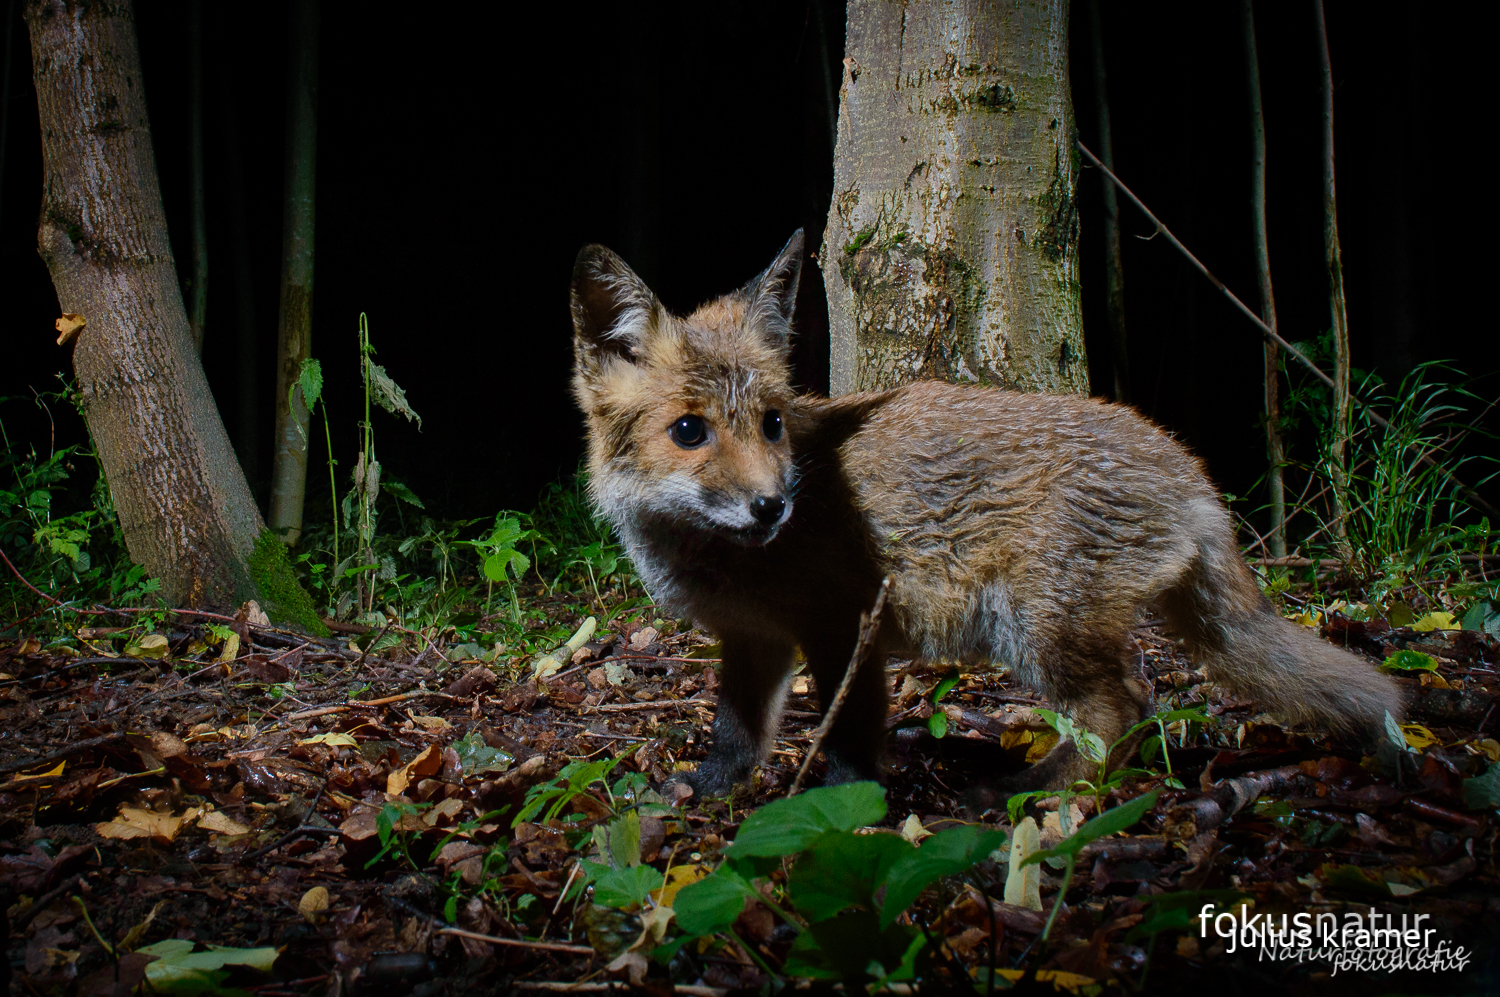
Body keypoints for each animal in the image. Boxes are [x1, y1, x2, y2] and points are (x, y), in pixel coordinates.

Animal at [564, 229, 1404, 797]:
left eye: (772, 423)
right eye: (689, 431)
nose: (772, 504)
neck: (723, 559)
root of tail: (1189, 468)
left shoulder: (844, 623)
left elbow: (848, 733)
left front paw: (843, 809)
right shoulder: (755, 639)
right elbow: (737, 732)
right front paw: (710, 790)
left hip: (1036, 624)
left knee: (1126, 705)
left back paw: (1028, 792)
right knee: (1139, 708)